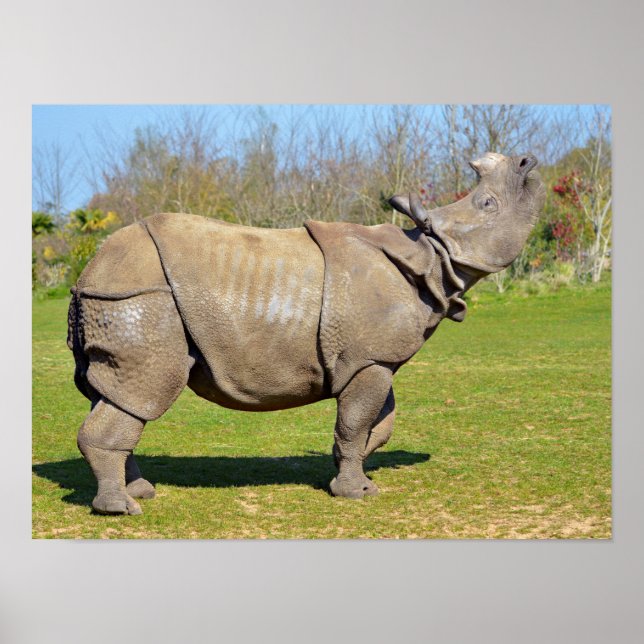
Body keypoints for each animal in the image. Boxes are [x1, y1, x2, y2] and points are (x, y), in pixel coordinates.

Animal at [67, 152, 545, 515]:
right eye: (488, 203)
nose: (527, 162)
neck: (431, 256)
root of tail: (87, 271)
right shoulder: (369, 358)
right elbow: (355, 422)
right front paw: (354, 494)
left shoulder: (372, 358)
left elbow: (378, 424)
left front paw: (356, 478)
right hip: (139, 297)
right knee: (146, 390)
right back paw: (122, 509)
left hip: (120, 297)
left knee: (115, 395)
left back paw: (140, 491)